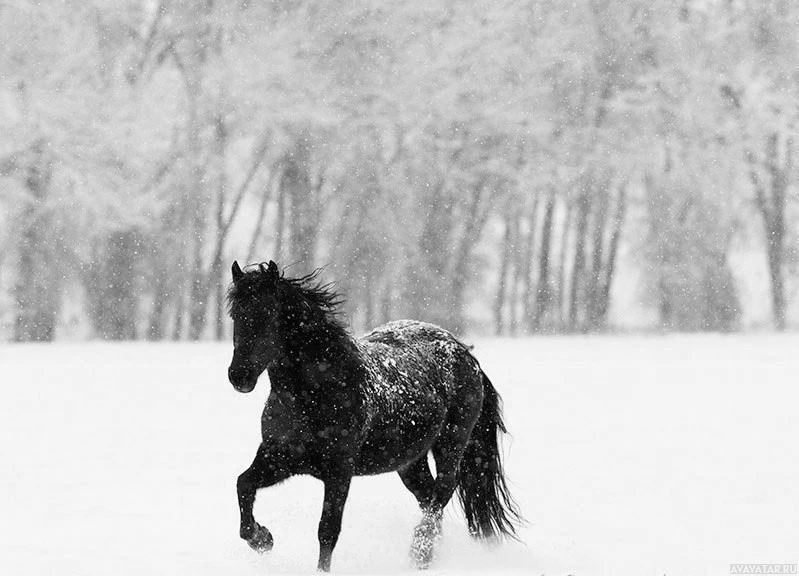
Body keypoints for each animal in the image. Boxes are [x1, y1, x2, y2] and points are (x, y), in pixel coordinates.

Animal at [227, 260, 524, 572]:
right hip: (410, 462)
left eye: (268, 313)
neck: (315, 393)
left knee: (443, 490)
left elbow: (327, 531)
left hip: (451, 443)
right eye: (236, 314)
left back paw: (419, 552)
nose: (239, 376)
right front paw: (263, 539)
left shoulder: (339, 470)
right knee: (429, 496)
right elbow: (243, 485)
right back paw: (426, 556)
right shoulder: (279, 457)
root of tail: (464, 353)